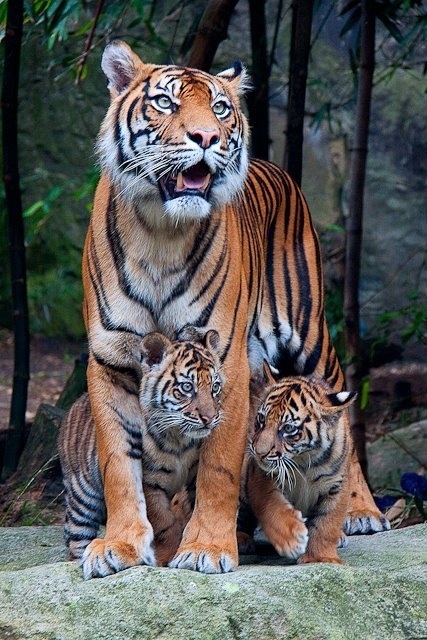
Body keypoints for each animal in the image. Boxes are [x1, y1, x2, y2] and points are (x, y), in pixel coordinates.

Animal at [58, 328, 223, 577]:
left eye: (215, 387)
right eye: (187, 388)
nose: (210, 418)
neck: (180, 438)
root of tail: (75, 403)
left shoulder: (195, 476)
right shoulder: (149, 483)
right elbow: (164, 521)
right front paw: (170, 552)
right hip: (82, 495)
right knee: (77, 536)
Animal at [239, 366, 356, 564]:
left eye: (288, 428)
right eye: (261, 419)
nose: (259, 453)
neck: (303, 460)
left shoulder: (337, 486)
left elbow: (327, 523)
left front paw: (320, 558)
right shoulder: (261, 476)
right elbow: (271, 505)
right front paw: (292, 540)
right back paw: (241, 539)